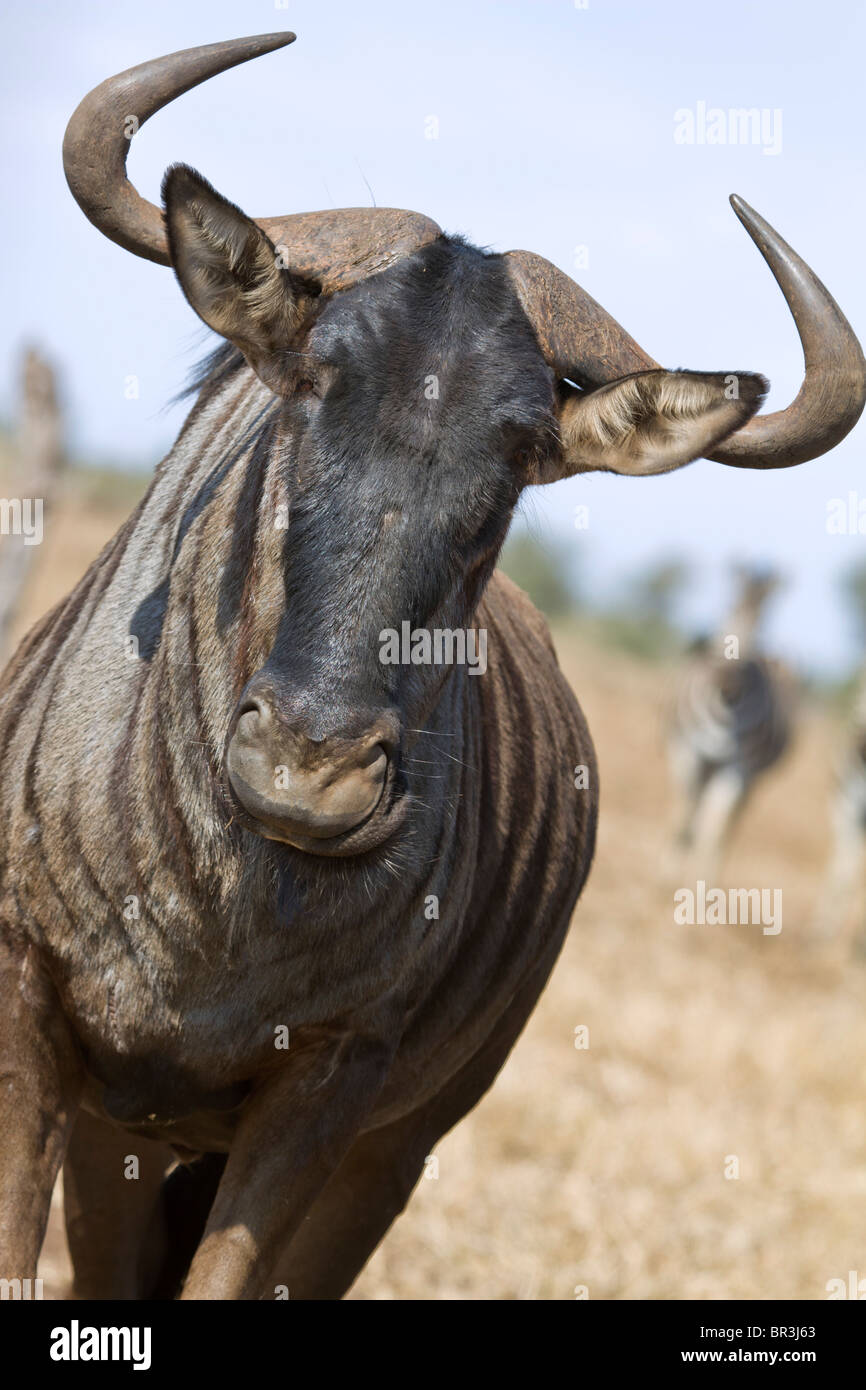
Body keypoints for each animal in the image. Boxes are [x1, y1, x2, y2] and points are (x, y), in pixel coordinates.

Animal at [667, 567, 795, 878]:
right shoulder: (687, 751)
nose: (726, 683)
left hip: (752, 777)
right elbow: (685, 814)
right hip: (705, 764)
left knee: (727, 823)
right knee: (695, 811)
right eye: (730, 609)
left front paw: (704, 879)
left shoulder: (739, 767)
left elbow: (715, 829)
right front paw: (667, 875)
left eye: (762, 624)